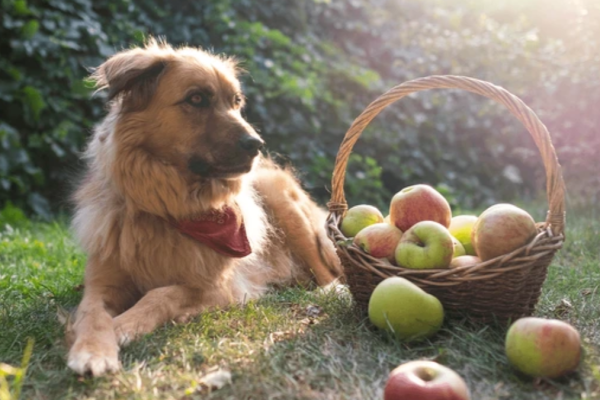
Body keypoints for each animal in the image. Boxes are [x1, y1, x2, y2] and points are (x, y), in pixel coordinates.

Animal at [68, 39, 342, 376]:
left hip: (282, 200)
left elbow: (163, 293)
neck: (169, 209)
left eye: (236, 101)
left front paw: (124, 325)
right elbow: (92, 314)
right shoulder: (100, 283)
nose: (257, 144)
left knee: (327, 274)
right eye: (196, 98)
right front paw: (92, 350)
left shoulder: (221, 287)